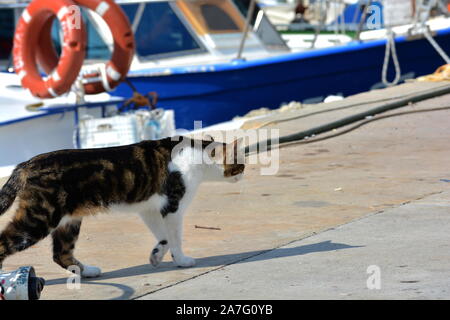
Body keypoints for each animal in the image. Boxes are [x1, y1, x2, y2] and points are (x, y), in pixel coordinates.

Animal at [0, 135, 244, 278]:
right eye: (240, 164)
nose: (243, 175)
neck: (197, 154)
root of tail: (26, 164)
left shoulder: (150, 209)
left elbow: (163, 237)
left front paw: (156, 255)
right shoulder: (173, 206)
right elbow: (174, 238)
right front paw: (182, 261)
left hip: (68, 221)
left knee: (61, 253)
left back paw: (88, 271)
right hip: (40, 218)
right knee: (5, 243)